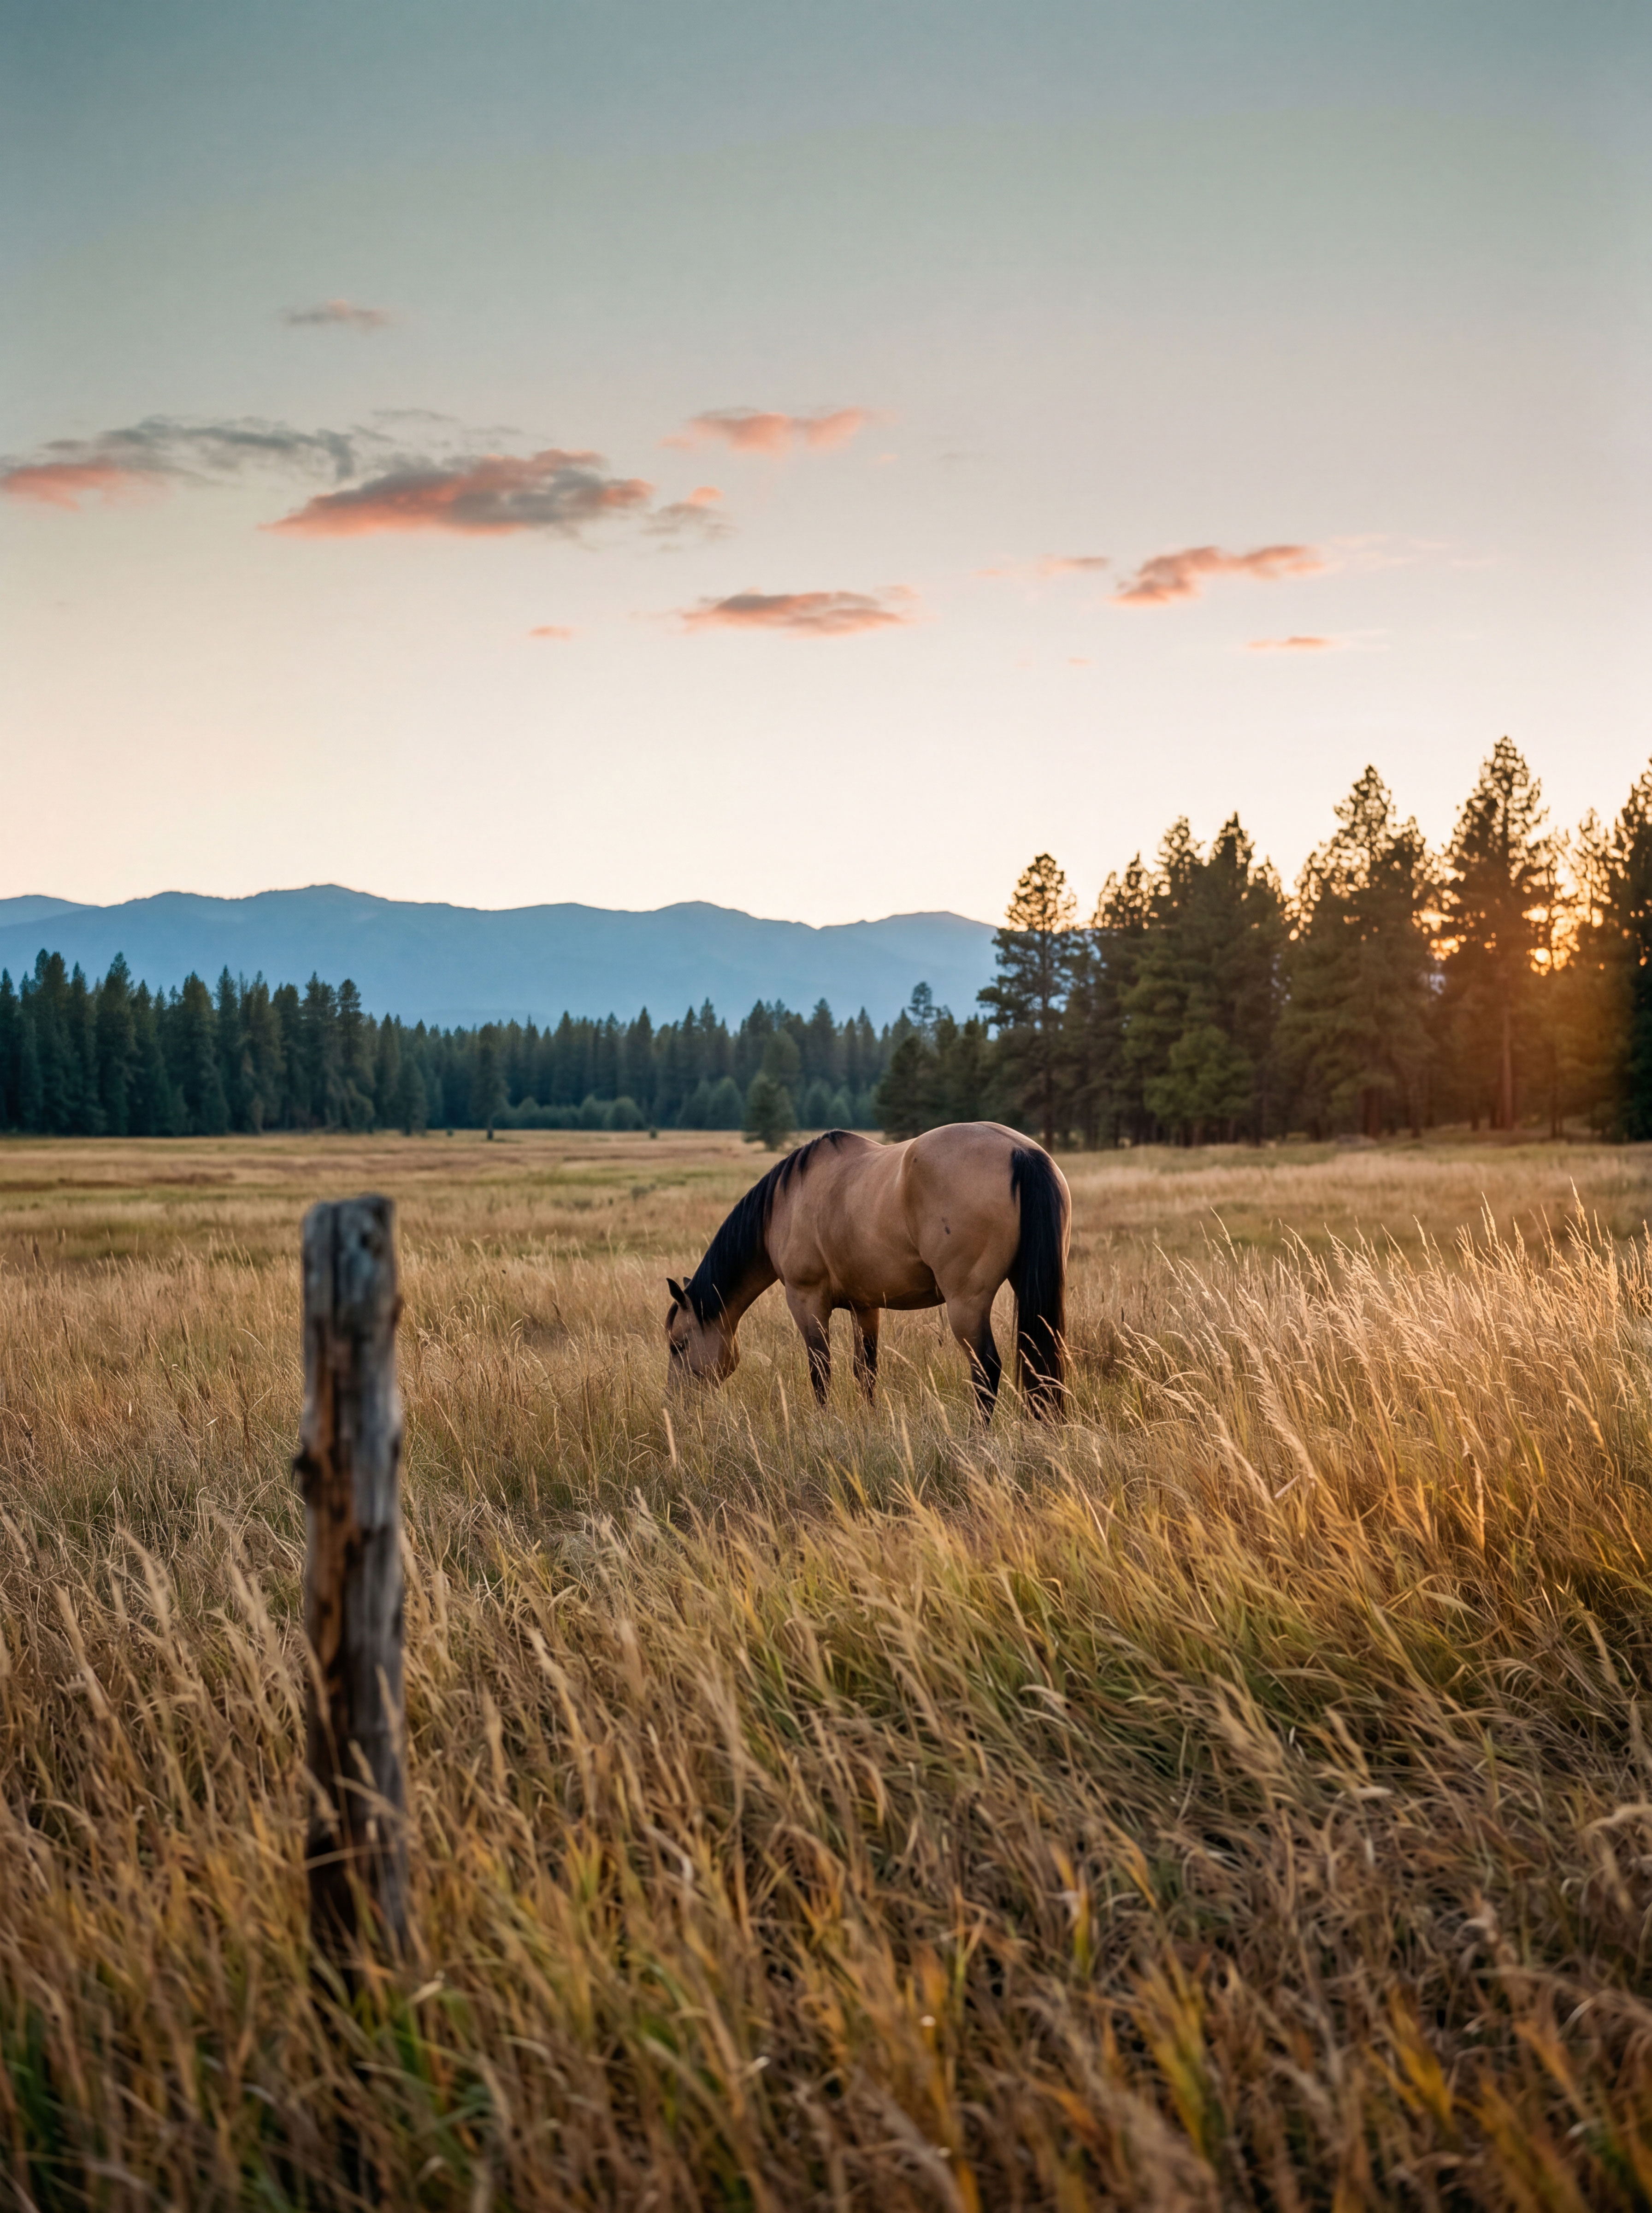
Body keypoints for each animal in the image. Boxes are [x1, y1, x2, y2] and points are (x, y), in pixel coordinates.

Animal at [664, 1122, 1070, 1421]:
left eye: (678, 1345)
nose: (674, 1405)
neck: (786, 1204)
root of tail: (1021, 1153)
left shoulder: (806, 1300)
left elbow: (820, 1370)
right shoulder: (866, 1306)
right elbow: (866, 1370)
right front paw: (870, 1420)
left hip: (967, 1303)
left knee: (986, 1368)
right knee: (1041, 1360)